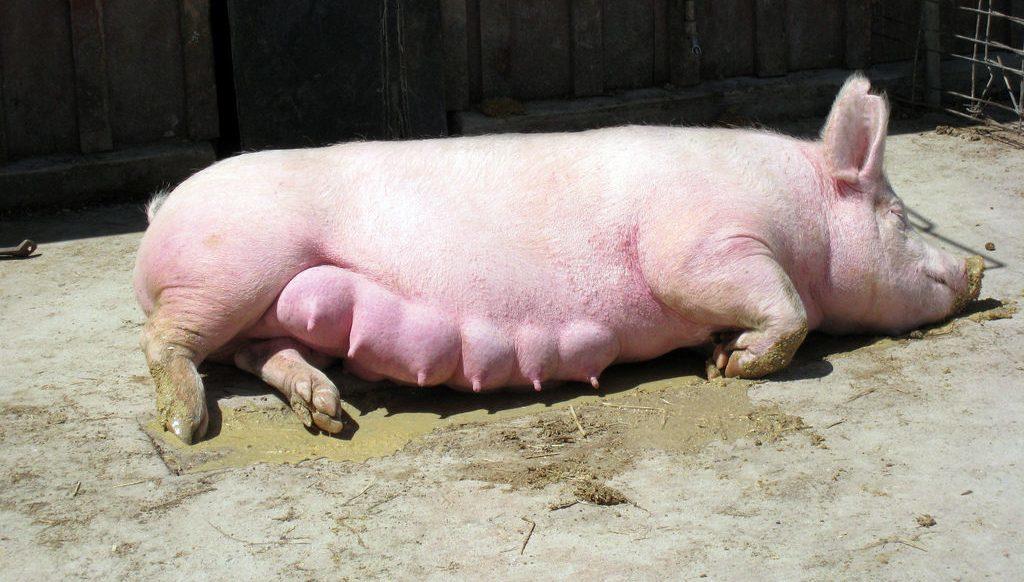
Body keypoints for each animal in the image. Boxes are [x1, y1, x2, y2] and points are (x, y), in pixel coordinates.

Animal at [135, 74, 984, 444]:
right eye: (898, 217)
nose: (977, 273)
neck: (798, 214)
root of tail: (161, 209)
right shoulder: (704, 243)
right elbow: (789, 311)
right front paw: (728, 364)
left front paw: (715, 354)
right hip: (227, 268)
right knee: (167, 342)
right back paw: (185, 426)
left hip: (264, 297)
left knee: (256, 351)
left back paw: (327, 412)